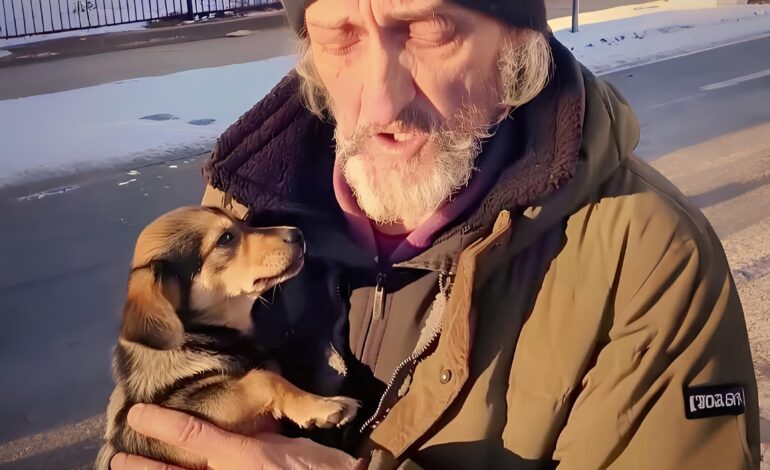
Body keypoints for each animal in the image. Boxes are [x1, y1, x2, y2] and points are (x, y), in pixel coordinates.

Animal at [95, 206, 359, 470]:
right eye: (225, 238)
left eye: (242, 222)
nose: (297, 234)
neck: (207, 336)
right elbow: (264, 380)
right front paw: (324, 406)